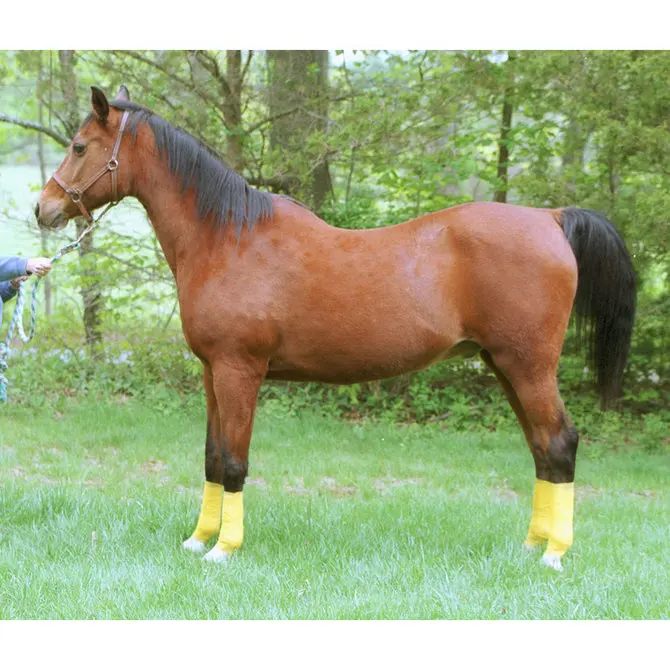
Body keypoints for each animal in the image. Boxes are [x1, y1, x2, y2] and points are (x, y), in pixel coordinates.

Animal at [36, 85, 636, 572]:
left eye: (80, 146)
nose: (43, 209)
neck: (228, 238)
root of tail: (550, 218)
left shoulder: (238, 372)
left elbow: (233, 461)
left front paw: (224, 549)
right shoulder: (211, 373)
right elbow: (210, 455)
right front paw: (197, 539)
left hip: (529, 367)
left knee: (560, 443)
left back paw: (555, 555)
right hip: (504, 366)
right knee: (541, 449)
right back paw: (533, 546)